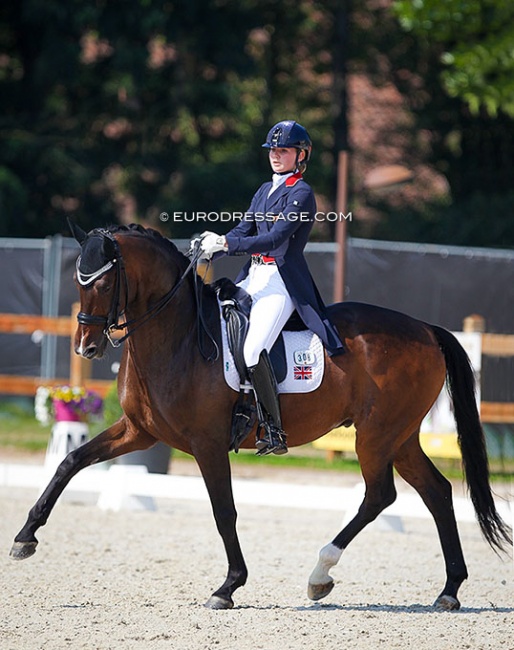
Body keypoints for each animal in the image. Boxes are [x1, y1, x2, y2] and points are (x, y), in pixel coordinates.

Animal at [10, 221, 510, 608]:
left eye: (103, 282)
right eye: (79, 281)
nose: (86, 348)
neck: (178, 336)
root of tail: (425, 328)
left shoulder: (208, 443)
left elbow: (223, 511)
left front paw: (228, 587)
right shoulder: (138, 431)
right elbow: (71, 462)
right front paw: (25, 537)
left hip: (376, 436)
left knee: (379, 495)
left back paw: (320, 574)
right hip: (400, 438)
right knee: (437, 492)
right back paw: (448, 590)